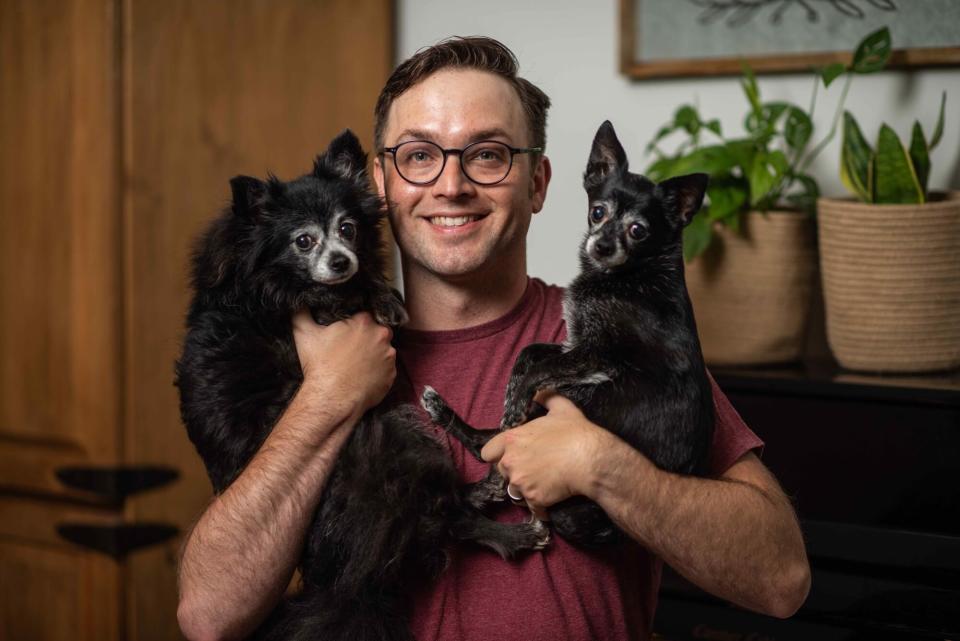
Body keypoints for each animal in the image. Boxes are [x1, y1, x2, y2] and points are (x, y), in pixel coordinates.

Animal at [173, 130, 548, 640]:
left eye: (348, 229)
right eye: (304, 241)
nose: (339, 260)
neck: (259, 264)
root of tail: (346, 581)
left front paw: (383, 293)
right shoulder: (304, 301)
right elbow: (336, 292)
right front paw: (380, 296)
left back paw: (485, 492)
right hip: (394, 440)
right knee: (444, 520)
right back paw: (510, 529)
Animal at [422, 122, 712, 548]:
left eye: (638, 231)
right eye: (598, 212)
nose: (602, 245)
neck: (629, 275)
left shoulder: (599, 356)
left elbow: (537, 370)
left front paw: (514, 400)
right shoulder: (575, 344)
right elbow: (529, 354)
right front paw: (512, 395)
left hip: (584, 402)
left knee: (493, 460)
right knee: (490, 447)